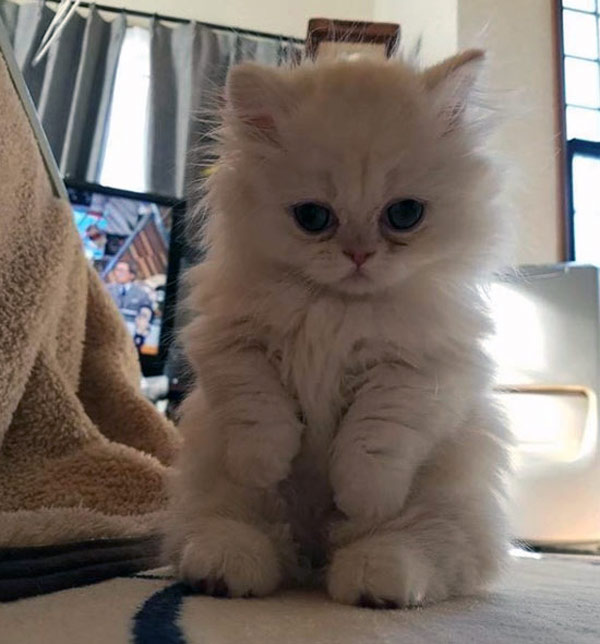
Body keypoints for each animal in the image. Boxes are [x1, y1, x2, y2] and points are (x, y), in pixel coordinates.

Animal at [165, 51, 510, 608]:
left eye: (405, 214)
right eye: (313, 217)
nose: (358, 255)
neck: (337, 308)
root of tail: (312, 555)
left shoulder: (423, 369)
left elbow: (375, 436)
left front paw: (363, 495)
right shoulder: (229, 341)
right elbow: (259, 410)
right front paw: (267, 463)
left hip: (444, 507)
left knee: (418, 549)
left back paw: (372, 582)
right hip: (222, 494)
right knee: (236, 533)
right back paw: (225, 572)